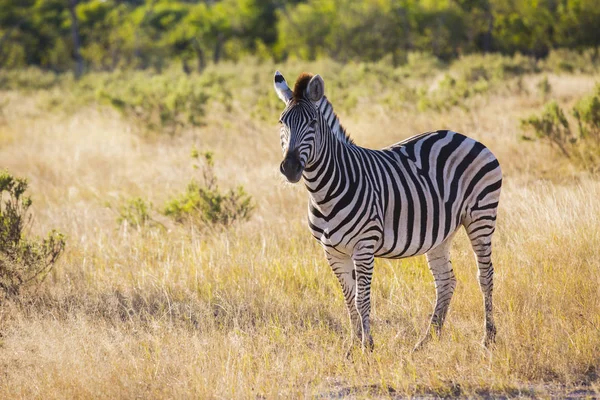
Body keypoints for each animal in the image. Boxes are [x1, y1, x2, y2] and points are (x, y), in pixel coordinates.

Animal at [274, 70, 504, 352]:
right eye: (281, 122)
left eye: (313, 123)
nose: (290, 168)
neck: (325, 190)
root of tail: (466, 137)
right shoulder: (332, 251)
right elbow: (348, 299)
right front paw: (352, 347)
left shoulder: (364, 246)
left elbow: (362, 299)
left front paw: (367, 347)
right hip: (442, 232)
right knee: (446, 280)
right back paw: (427, 340)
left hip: (481, 216)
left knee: (485, 275)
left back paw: (487, 339)